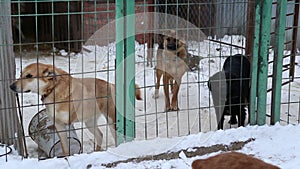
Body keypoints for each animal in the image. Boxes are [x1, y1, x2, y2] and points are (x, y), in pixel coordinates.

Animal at [9, 63, 141, 156]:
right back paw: (96, 151)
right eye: (21, 74)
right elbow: (65, 148)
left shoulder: (67, 123)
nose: (11, 86)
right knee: (100, 134)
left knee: (115, 137)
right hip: (89, 122)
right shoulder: (59, 125)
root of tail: (111, 84)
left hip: (111, 121)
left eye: (29, 76)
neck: (53, 90)